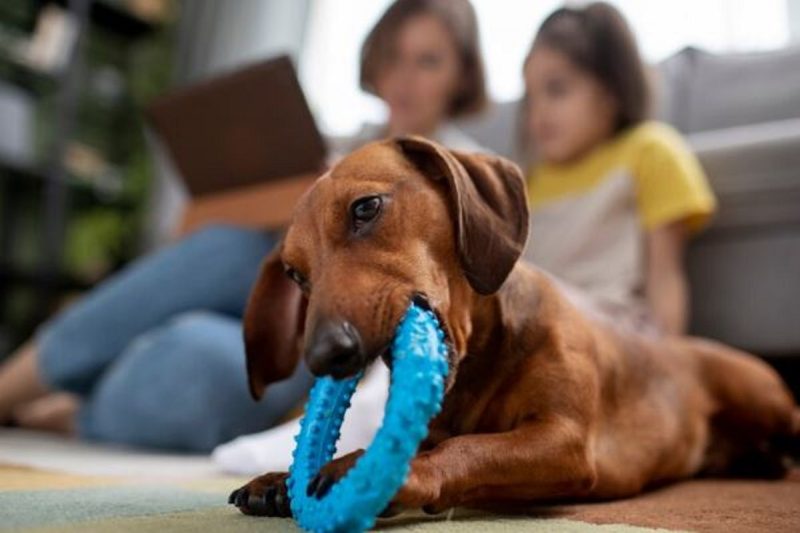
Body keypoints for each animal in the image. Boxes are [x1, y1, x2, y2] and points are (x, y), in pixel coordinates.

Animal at [228, 135, 796, 516]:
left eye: (366, 207)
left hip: (761, 398)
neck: (482, 361)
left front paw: (368, 469)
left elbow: (468, 448)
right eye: (294, 274)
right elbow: (444, 440)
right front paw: (280, 478)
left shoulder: (564, 441)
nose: (324, 356)